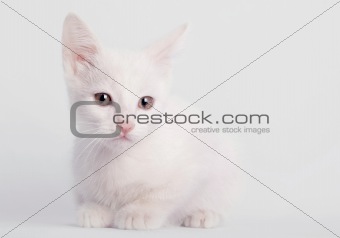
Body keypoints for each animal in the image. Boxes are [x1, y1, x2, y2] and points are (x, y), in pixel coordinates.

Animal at [61, 13, 236, 231]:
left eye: (146, 102)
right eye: (102, 98)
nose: (126, 124)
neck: (121, 158)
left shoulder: (193, 168)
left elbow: (166, 194)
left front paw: (139, 212)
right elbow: (89, 195)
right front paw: (95, 208)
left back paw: (204, 214)